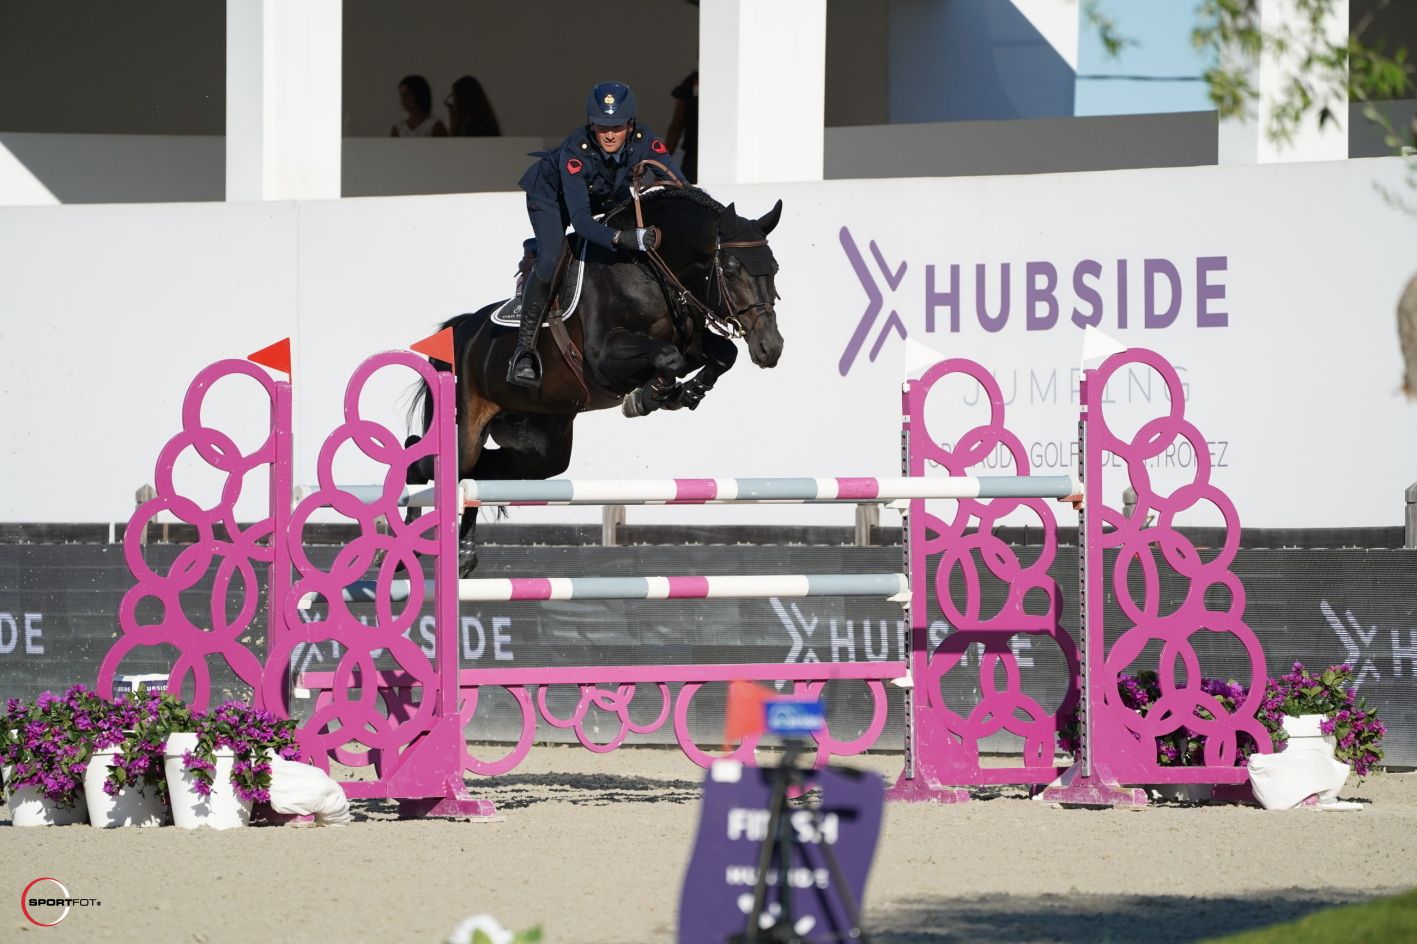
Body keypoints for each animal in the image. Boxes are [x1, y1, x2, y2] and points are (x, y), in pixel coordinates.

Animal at [407, 185, 785, 575]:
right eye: (731, 269)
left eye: (774, 268)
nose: (771, 347)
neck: (648, 271)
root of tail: (458, 330)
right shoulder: (603, 358)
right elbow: (668, 356)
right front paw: (647, 398)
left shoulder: (692, 341)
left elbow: (723, 353)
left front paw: (689, 392)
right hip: (467, 428)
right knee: (431, 462)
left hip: (540, 448)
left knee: (478, 476)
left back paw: (464, 553)